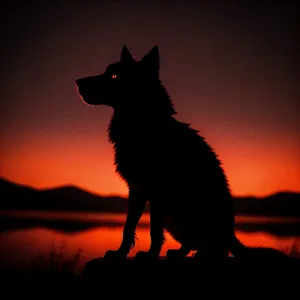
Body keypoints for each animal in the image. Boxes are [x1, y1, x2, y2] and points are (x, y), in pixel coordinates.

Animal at [75, 44, 290, 262]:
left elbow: (154, 230)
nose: (77, 82)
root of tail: (231, 234)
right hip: (174, 219)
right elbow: (128, 227)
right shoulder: (136, 190)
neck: (144, 123)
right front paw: (120, 253)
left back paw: (202, 254)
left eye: (114, 76)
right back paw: (179, 253)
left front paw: (150, 255)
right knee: (192, 242)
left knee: (217, 249)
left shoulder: (157, 191)